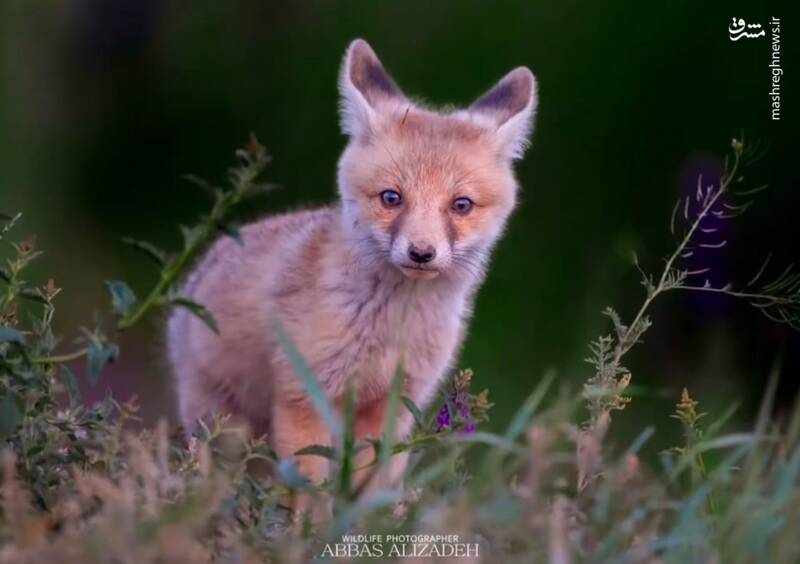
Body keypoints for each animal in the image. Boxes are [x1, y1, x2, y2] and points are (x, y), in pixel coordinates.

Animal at [166, 40, 536, 502]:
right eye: (392, 198)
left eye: (461, 205)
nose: (421, 252)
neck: (389, 331)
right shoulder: (304, 398)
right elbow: (311, 494)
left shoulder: (394, 408)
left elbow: (368, 494)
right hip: (220, 428)